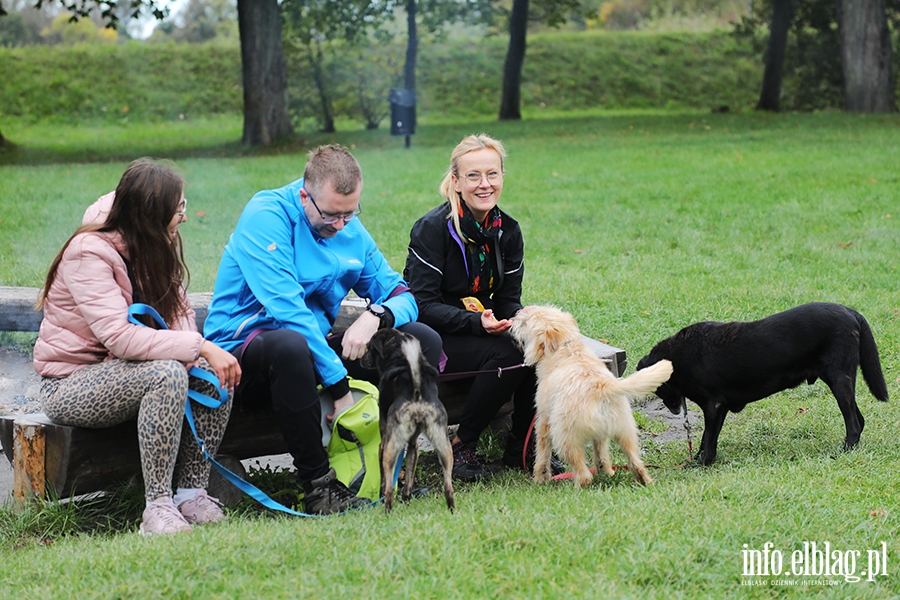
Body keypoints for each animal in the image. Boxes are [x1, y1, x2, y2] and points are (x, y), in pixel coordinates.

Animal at [360, 328, 454, 510]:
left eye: (368, 346)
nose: (360, 359)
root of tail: (416, 393)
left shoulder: (383, 443)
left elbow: (384, 480)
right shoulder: (413, 445)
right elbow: (409, 478)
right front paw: (406, 500)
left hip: (390, 448)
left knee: (389, 489)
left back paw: (387, 510)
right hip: (444, 445)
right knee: (449, 487)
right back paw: (452, 510)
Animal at [510, 304, 672, 488]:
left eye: (525, 323)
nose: (512, 320)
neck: (566, 347)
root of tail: (602, 388)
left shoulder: (543, 421)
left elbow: (542, 455)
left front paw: (540, 479)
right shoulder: (599, 435)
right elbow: (601, 454)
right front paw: (605, 471)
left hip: (565, 437)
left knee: (584, 473)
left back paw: (577, 487)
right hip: (626, 432)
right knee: (635, 462)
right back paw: (641, 480)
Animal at [636, 302, 888, 466]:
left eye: (657, 388)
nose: (674, 409)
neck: (676, 359)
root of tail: (851, 312)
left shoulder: (714, 405)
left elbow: (708, 438)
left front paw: (701, 463)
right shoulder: (719, 408)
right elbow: (707, 437)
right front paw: (700, 459)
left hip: (839, 379)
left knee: (853, 423)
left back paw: (844, 450)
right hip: (840, 381)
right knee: (859, 419)